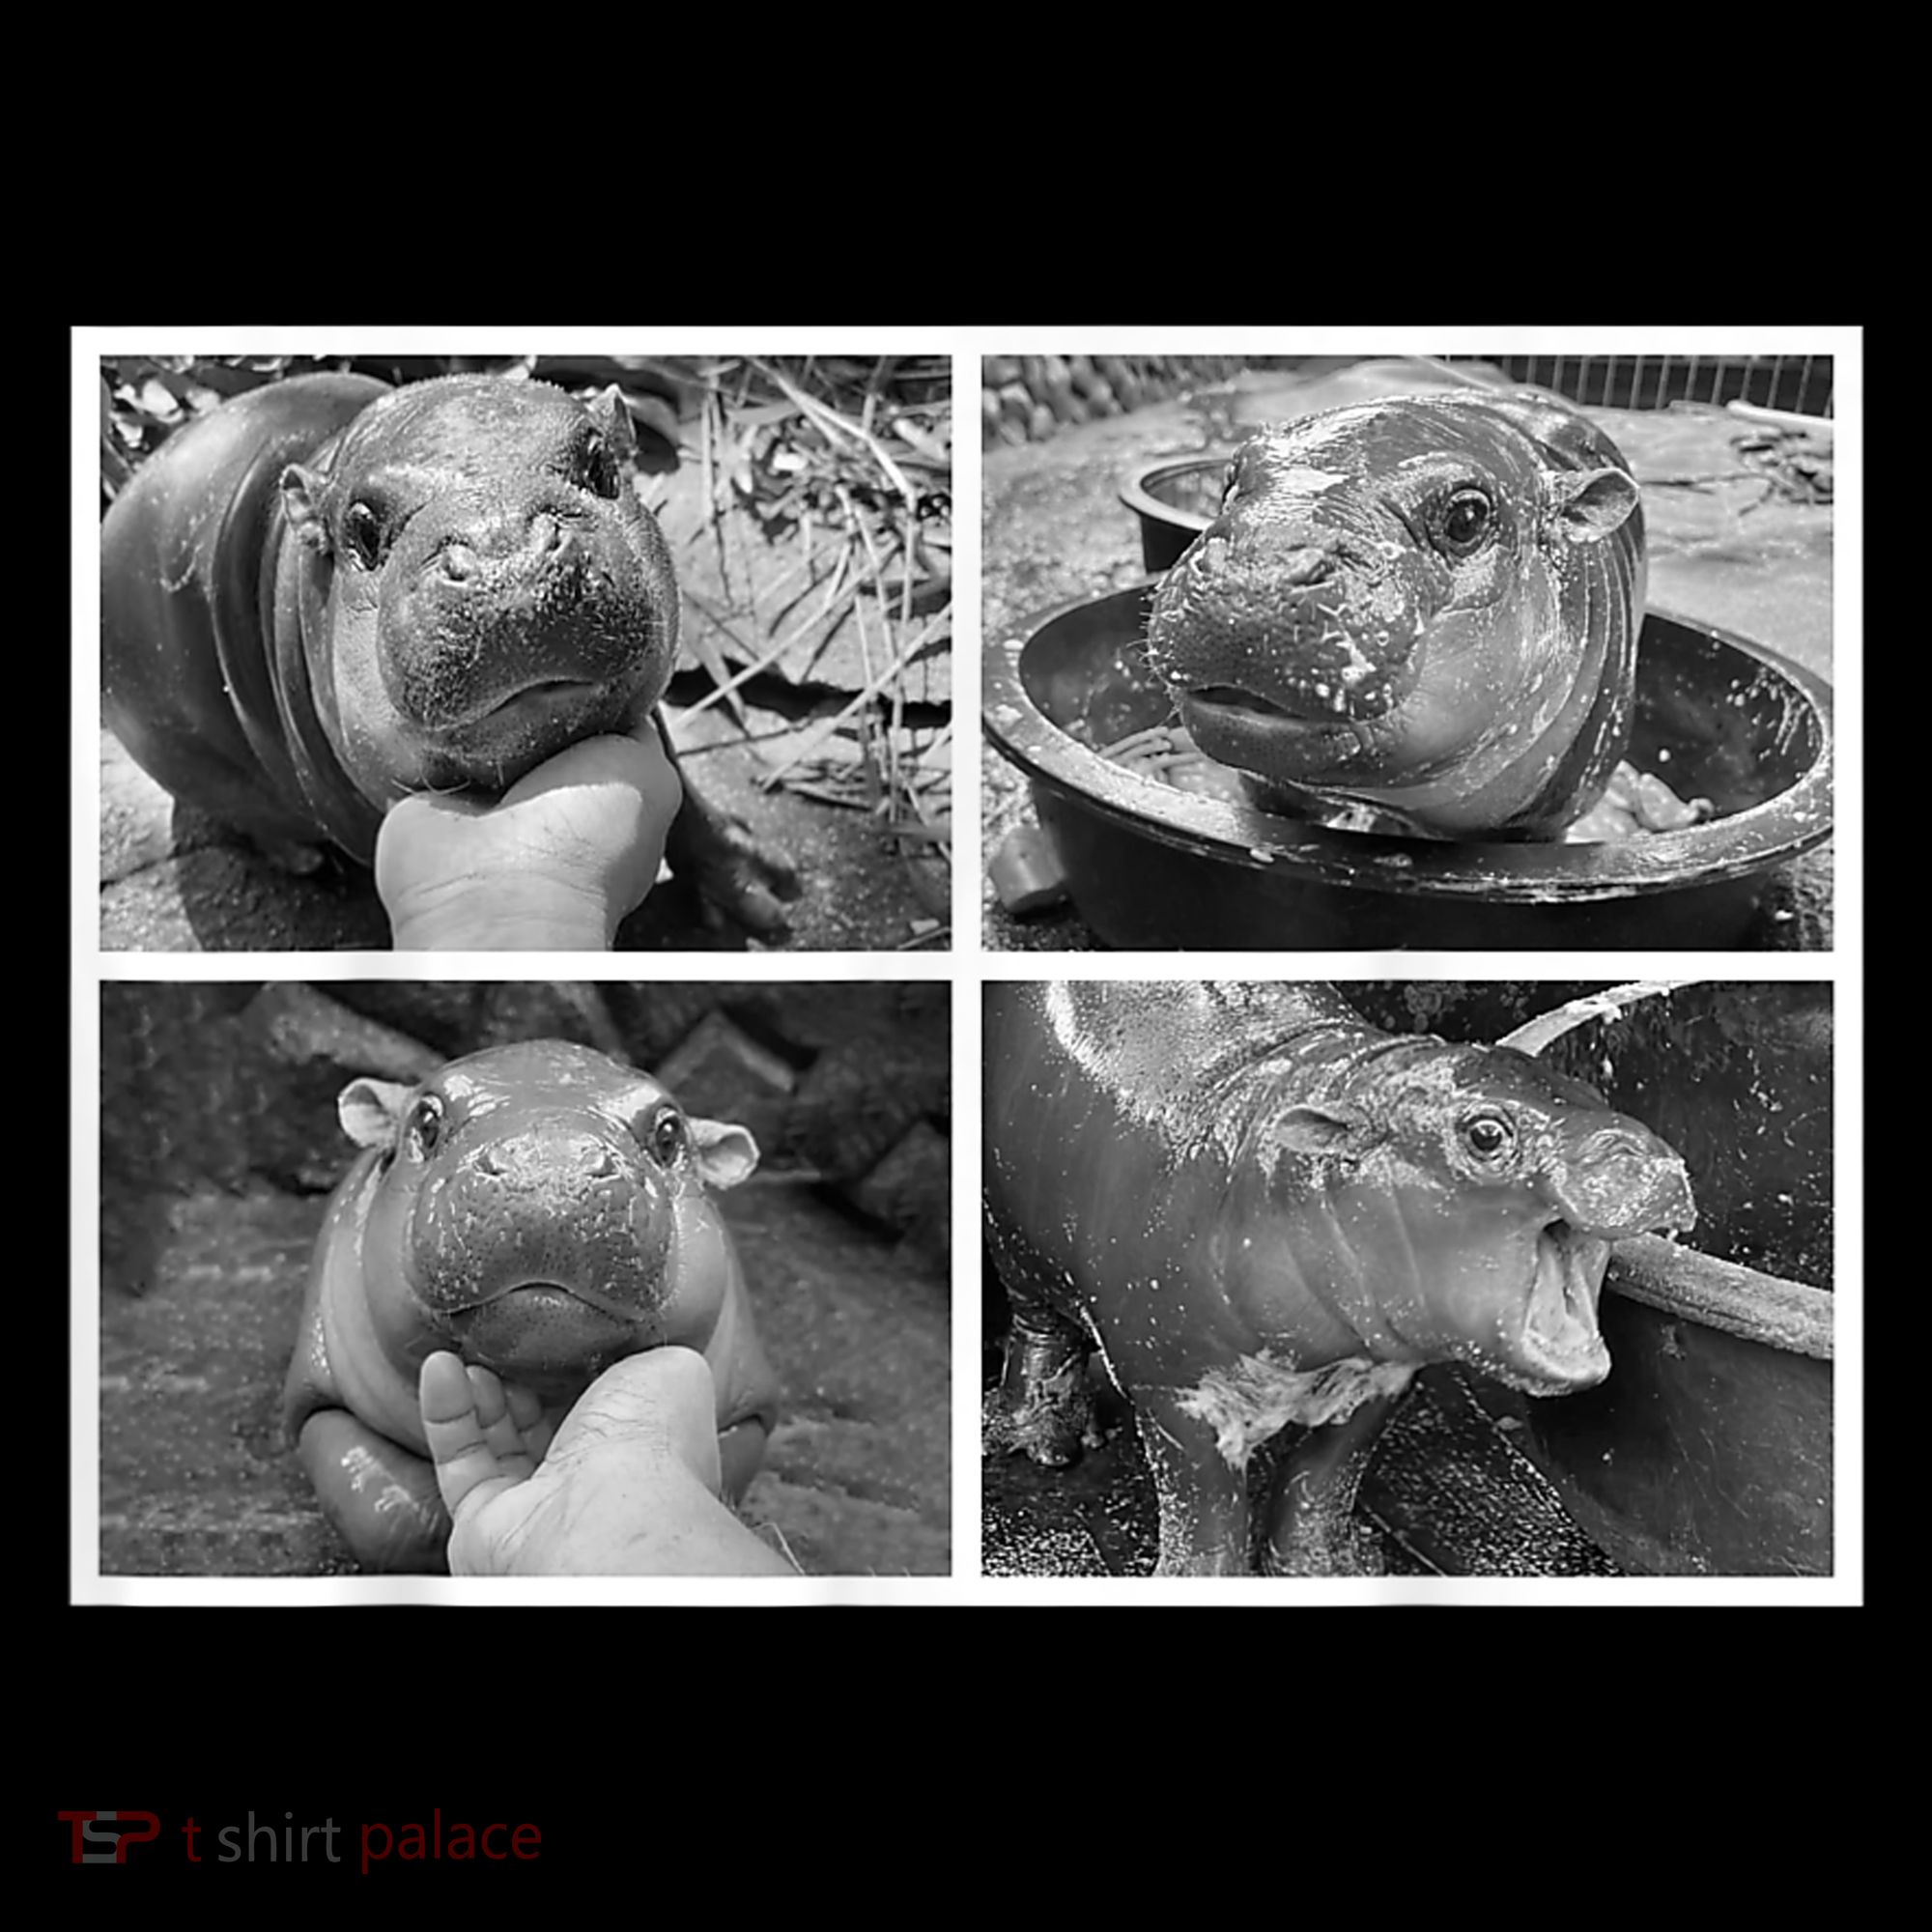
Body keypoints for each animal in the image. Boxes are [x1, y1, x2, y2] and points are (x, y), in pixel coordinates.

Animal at [100, 371, 796, 932]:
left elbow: (684, 793)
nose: (506, 551)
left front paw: (768, 896)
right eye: (361, 527)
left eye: (602, 464)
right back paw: (304, 860)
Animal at [282, 1039, 781, 1571]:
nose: (549, 1167)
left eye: (669, 1133)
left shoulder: (748, 1413)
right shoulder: (319, 1402)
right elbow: (390, 1515)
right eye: (426, 1120)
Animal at [983, 982, 1696, 1575]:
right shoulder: (1172, 1388)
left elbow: (1323, 1480)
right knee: (1038, 1332)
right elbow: (1204, 1511)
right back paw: (1044, 1443)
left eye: (1598, 1094)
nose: (1648, 1157)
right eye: (1487, 1135)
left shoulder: (1382, 1376)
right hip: (1014, 1245)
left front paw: (1330, 1570)